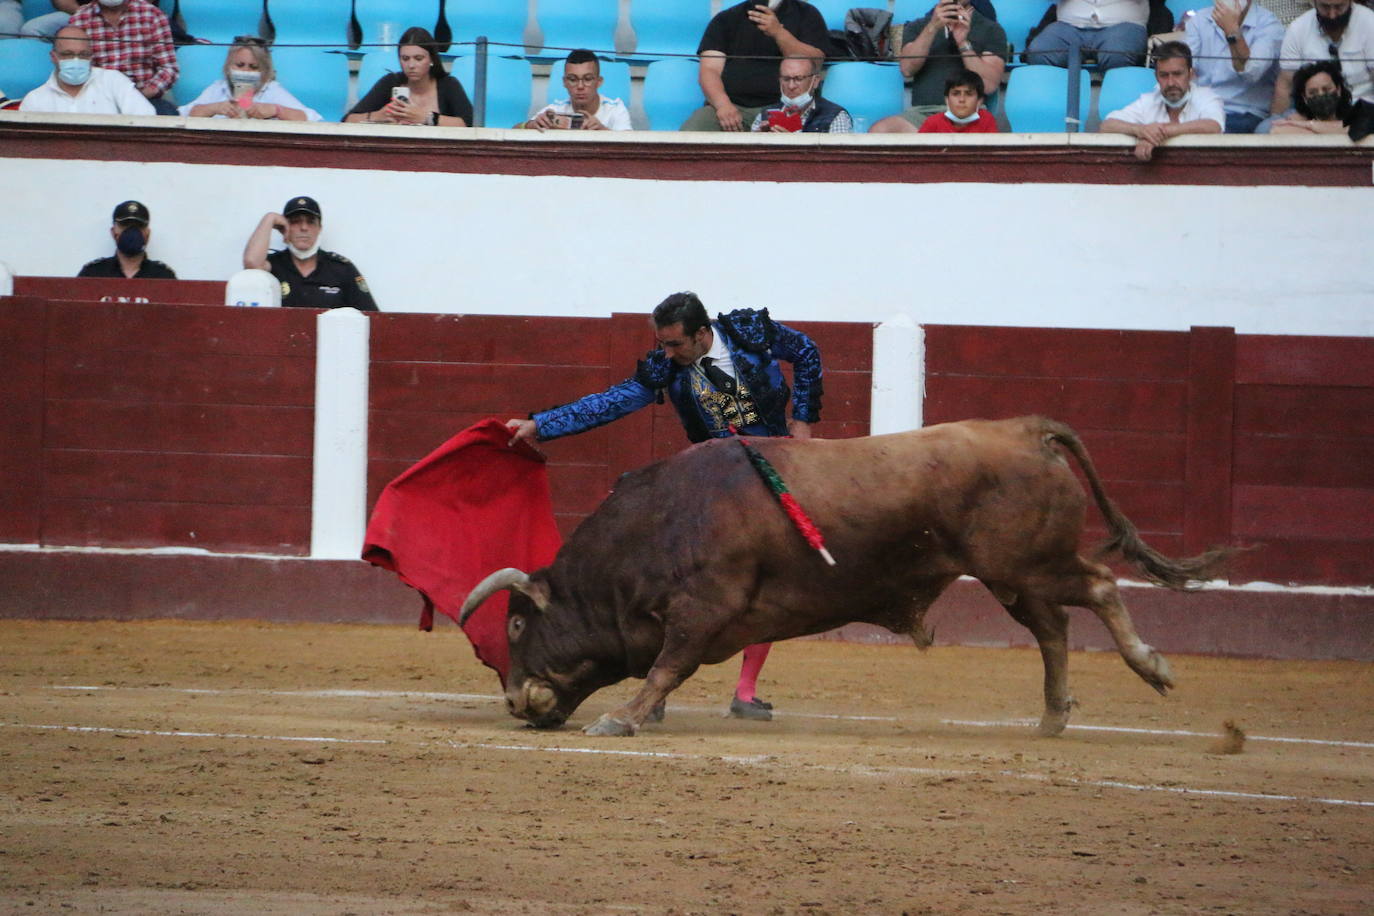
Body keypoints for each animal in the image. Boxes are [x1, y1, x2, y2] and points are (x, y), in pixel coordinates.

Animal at [464, 420, 1236, 741]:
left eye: (516, 622)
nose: (514, 701)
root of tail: (1026, 430)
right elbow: (665, 668)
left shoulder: (703, 608)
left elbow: (665, 667)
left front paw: (621, 719)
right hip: (1016, 577)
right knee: (1054, 628)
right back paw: (1051, 716)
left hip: (1027, 564)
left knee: (1100, 586)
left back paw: (1153, 668)